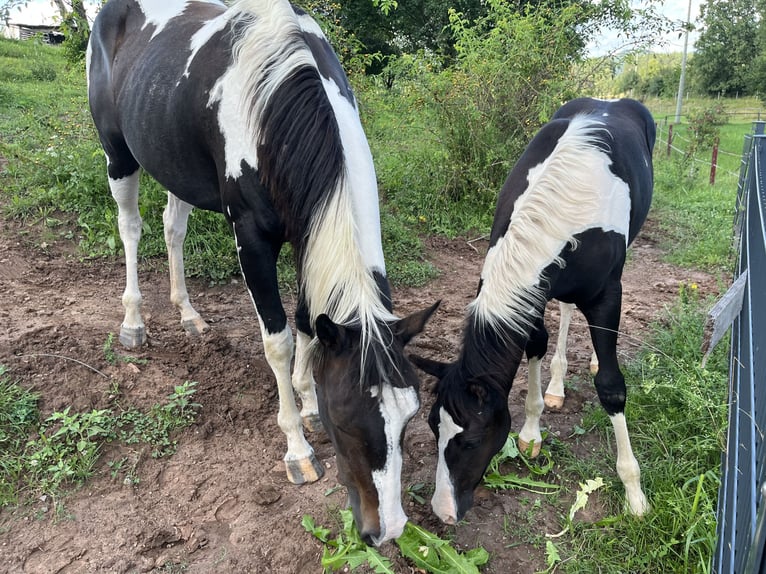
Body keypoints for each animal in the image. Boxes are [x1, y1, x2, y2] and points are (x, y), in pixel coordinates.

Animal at [88, 0, 438, 548]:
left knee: (172, 227)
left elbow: (309, 322)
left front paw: (307, 400)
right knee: (130, 227)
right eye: (348, 422)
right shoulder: (251, 237)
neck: (277, 101)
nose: (389, 530)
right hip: (118, 154)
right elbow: (279, 340)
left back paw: (187, 314)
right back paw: (133, 322)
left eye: (410, 418)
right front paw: (298, 447)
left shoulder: (307, 232)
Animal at [412, 98, 656, 528]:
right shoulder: (532, 295)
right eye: (432, 428)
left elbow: (611, 387)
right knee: (567, 310)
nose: (444, 513)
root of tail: (610, 101)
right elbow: (537, 345)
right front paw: (531, 430)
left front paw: (634, 493)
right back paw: (557, 385)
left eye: (471, 440)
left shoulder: (607, 294)